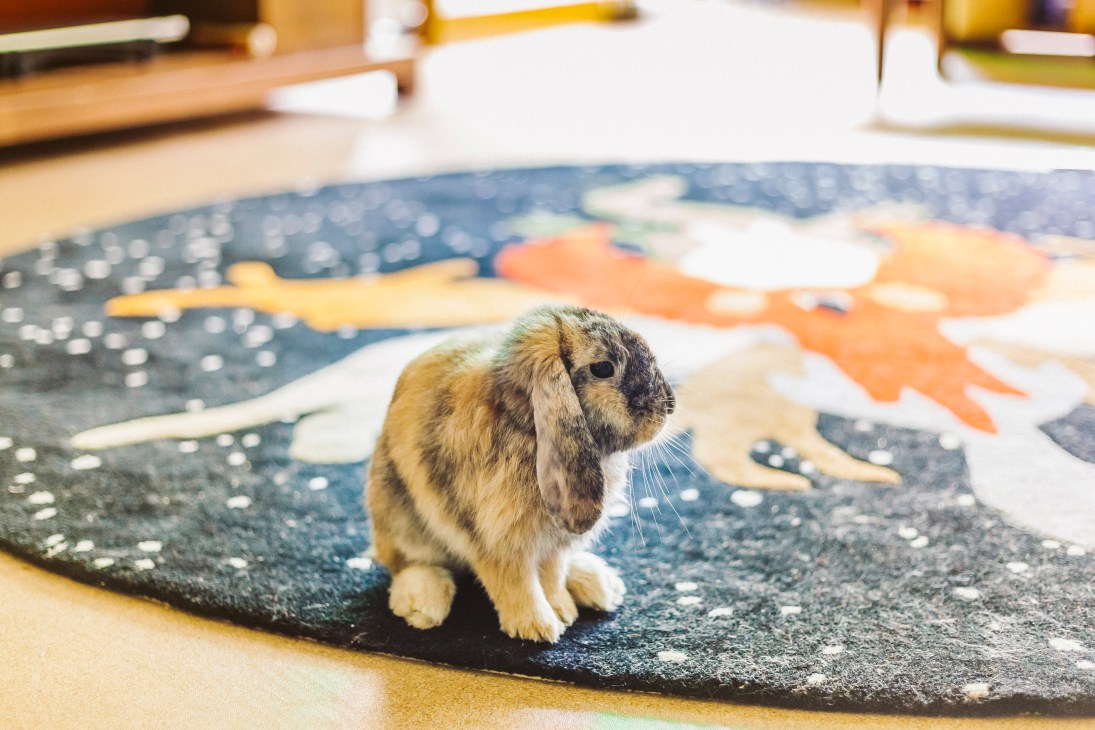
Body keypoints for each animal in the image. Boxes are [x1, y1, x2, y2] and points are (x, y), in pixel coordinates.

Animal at [365, 304, 675, 642]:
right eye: (604, 368)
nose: (669, 407)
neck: (525, 424)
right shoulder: (494, 539)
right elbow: (514, 581)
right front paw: (538, 627)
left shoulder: (554, 540)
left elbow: (552, 574)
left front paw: (562, 611)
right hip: (400, 517)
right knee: (407, 562)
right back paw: (424, 604)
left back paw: (599, 583)